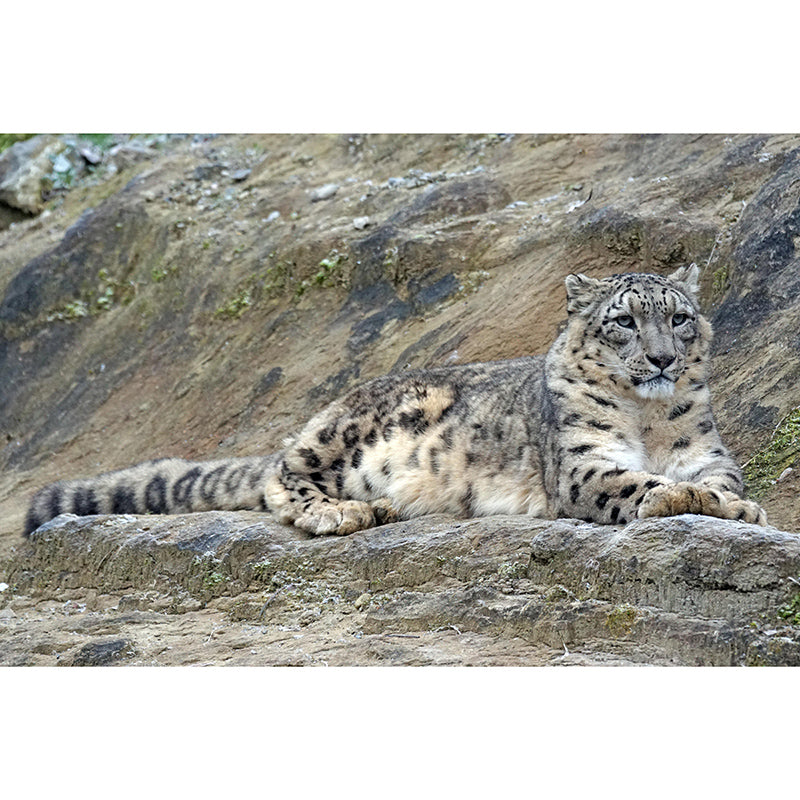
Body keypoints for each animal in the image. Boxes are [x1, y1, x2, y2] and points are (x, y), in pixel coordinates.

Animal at [24, 263, 767, 538]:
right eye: (624, 321)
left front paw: (732, 504)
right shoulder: (582, 461)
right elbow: (637, 483)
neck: (648, 419)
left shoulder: (706, 450)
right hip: (342, 433)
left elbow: (718, 480)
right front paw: (688, 500)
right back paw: (343, 512)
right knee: (280, 475)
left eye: (679, 318)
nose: (663, 359)